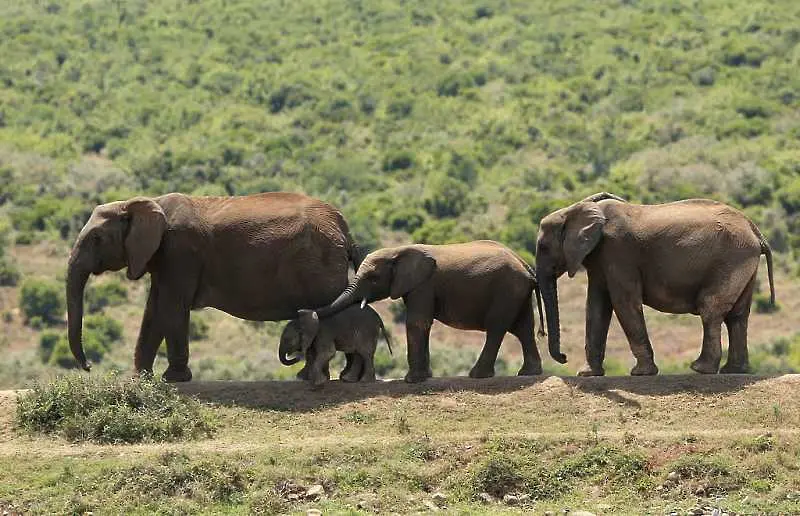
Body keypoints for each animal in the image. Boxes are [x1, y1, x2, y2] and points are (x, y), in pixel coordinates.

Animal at [67, 191, 364, 380]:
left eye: (96, 238)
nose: (89, 366)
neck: (146, 203)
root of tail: (345, 229)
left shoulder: (180, 252)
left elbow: (171, 306)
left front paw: (174, 379)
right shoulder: (164, 259)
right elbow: (154, 308)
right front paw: (140, 379)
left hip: (321, 267)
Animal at [302, 240, 552, 380]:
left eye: (373, 278)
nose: (304, 312)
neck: (398, 251)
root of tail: (527, 268)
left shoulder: (423, 285)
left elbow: (417, 322)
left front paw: (412, 380)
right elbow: (423, 324)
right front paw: (426, 376)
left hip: (506, 290)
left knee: (497, 328)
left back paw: (477, 375)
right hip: (517, 293)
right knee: (523, 328)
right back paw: (527, 373)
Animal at [536, 191, 776, 376]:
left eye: (543, 247)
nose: (564, 357)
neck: (573, 211)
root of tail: (755, 230)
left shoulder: (618, 254)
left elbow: (624, 303)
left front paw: (641, 373)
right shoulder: (600, 261)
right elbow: (596, 307)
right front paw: (587, 374)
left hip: (731, 259)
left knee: (710, 309)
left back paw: (700, 369)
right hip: (743, 262)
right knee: (738, 316)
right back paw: (734, 371)